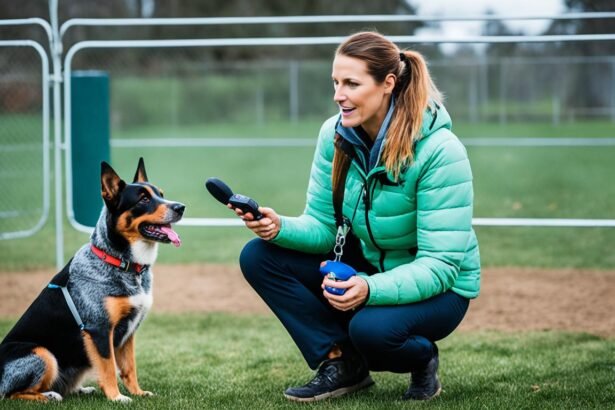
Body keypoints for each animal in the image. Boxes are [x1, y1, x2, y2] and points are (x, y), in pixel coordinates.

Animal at [0, 159, 185, 402]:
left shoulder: (128, 333)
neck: (121, 262)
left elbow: (129, 368)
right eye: (143, 199)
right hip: (42, 353)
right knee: (10, 393)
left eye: (161, 194)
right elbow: (108, 368)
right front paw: (117, 397)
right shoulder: (99, 329)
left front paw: (138, 392)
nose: (181, 207)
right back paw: (48, 396)